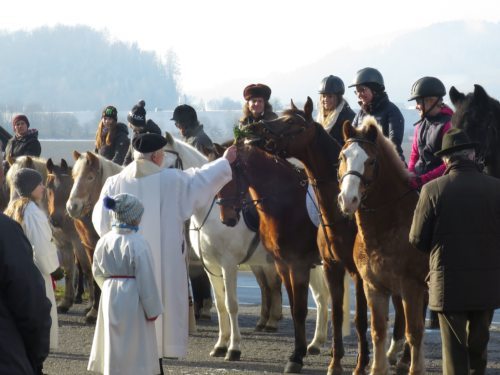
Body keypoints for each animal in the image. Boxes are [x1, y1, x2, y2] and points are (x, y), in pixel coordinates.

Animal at [45, 157, 94, 316]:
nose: (55, 220)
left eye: (67, 186)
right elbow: (68, 270)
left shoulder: (80, 243)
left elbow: (87, 269)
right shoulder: (63, 243)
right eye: (48, 187)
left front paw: (91, 306)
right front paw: (66, 302)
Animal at [162, 134, 330, 362]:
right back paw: (315, 343)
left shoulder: (228, 265)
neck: (209, 213)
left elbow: (232, 305)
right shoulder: (211, 266)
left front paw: (234, 348)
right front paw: (220, 345)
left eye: (171, 166)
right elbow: (221, 305)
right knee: (321, 297)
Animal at [242, 98, 410, 374]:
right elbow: (333, 313)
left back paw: (402, 356)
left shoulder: (352, 271)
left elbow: (358, 317)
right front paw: (332, 360)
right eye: (342, 157)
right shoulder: (325, 266)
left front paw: (360, 362)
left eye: (292, 122)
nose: (254, 129)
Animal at [338, 118, 428, 375]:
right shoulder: (374, 287)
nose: (348, 200)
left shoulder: (411, 287)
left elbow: (414, 331)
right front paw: (378, 367)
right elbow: (378, 331)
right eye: (342, 156)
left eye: (371, 161)